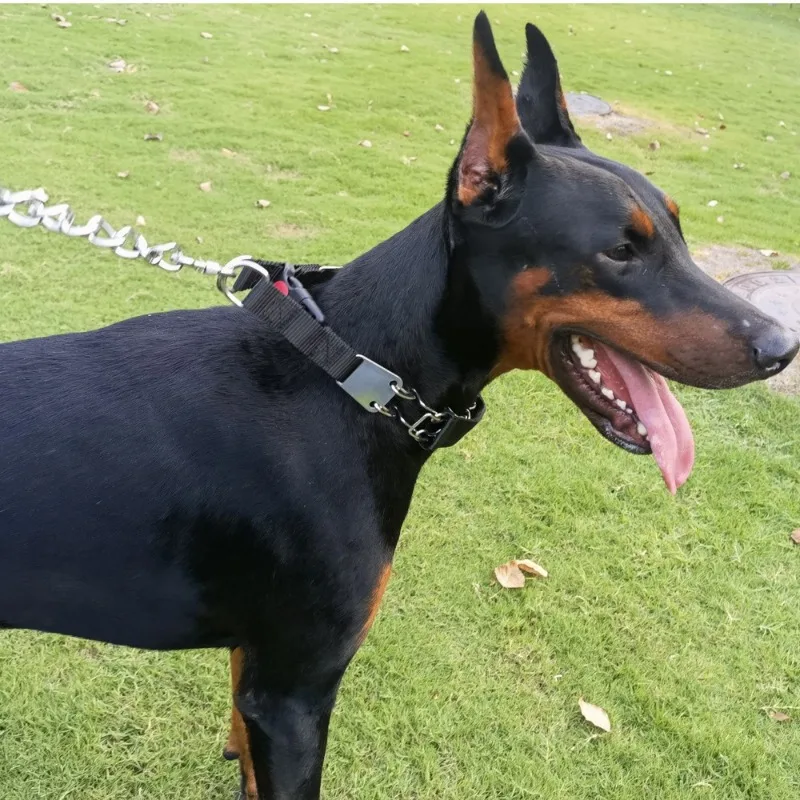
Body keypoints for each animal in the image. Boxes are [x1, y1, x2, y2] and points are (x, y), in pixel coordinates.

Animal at [1, 12, 797, 800]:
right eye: (621, 251)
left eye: (678, 229)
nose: (781, 345)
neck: (355, 376)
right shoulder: (292, 695)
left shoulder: (256, 674)